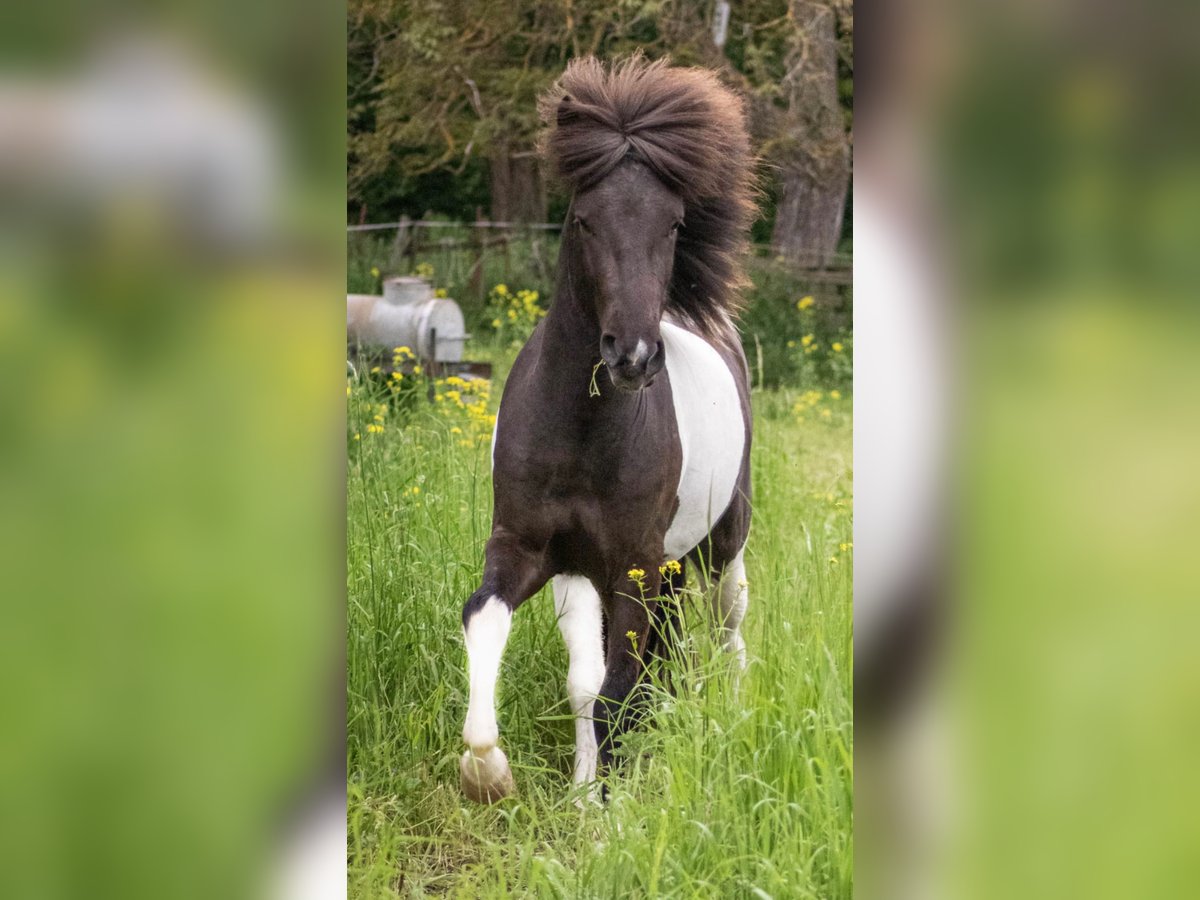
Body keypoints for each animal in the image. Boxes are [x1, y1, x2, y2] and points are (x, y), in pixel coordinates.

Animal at [460, 56, 758, 801]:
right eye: (585, 219)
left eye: (674, 224)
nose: (633, 357)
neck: (582, 432)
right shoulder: (535, 550)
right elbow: (495, 625)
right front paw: (494, 775)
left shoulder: (632, 566)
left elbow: (614, 692)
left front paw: (609, 809)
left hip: (721, 542)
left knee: (727, 629)